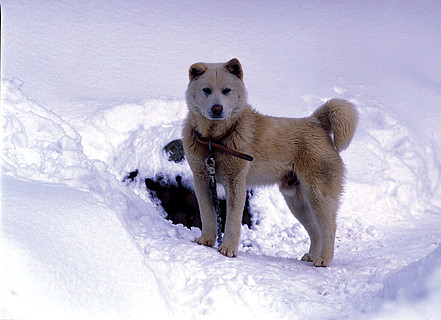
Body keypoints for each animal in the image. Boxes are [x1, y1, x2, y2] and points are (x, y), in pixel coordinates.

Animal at [182, 58, 358, 266]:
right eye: (206, 90)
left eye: (226, 90)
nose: (217, 109)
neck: (215, 140)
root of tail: (318, 123)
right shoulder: (201, 179)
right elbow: (207, 214)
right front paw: (206, 240)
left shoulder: (236, 182)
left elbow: (232, 221)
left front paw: (228, 249)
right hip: (296, 200)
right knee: (316, 231)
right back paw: (312, 256)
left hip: (318, 195)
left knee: (329, 228)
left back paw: (324, 259)